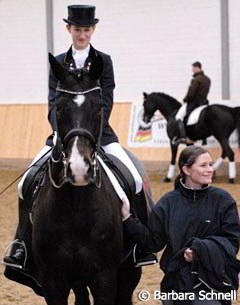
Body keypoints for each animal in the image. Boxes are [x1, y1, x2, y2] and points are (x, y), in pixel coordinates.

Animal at [28, 53, 144, 302]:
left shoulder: (105, 278)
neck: (75, 204)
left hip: (128, 274)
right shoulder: (53, 281)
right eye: (59, 109)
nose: (79, 169)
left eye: (99, 109)